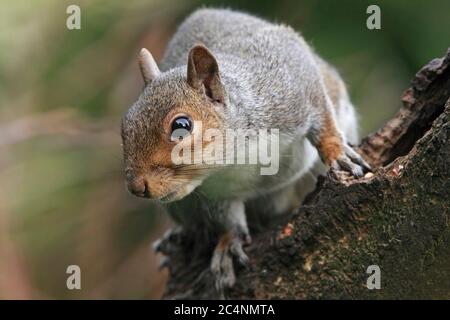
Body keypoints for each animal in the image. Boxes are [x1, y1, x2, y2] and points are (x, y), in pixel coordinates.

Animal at [120, 8, 370, 296]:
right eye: (124, 124)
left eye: (181, 126)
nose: (136, 186)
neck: (236, 157)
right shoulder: (213, 192)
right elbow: (227, 219)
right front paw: (229, 243)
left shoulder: (291, 81)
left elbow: (322, 117)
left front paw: (337, 152)